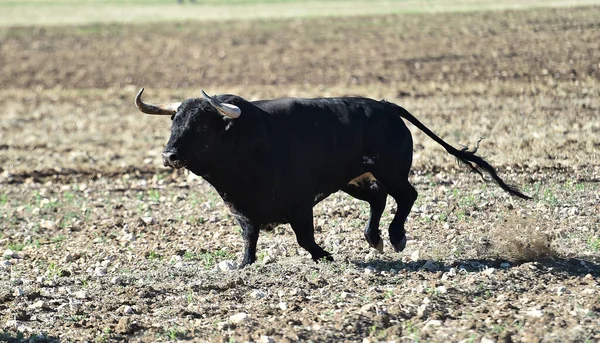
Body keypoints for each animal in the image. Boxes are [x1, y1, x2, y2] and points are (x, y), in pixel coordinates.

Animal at [136, 88, 528, 268]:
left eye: (202, 125)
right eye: (174, 121)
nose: (169, 156)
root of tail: (385, 106)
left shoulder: (300, 204)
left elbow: (305, 239)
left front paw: (326, 256)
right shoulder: (241, 210)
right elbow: (249, 240)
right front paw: (242, 265)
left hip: (390, 170)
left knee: (406, 196)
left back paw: (395, 237)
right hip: (352, 180)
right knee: (379, 199)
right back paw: (374, 238)